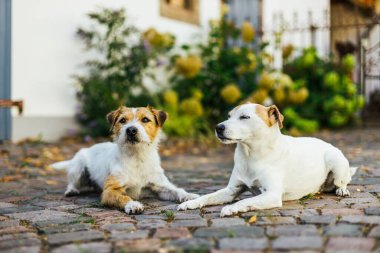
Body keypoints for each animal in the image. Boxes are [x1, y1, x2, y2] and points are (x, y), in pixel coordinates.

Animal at [52, 105, 199, 213]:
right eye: (122, 120)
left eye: (145, 119)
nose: (131, 130)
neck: (137, 157)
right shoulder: (110, 190)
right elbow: (123, 197)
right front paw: (133, 205)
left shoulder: (160, 186)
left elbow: (176, 190)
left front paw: (189, 197)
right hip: (78, 168)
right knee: (73, 181)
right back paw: (71, 190)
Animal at [178, 102, 356, 216]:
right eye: (228, 116)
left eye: (244, 117)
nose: (218, 127)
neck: (250, 155)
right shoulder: (231, 190)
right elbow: (208, 196)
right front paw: (190, 203)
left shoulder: (272, 194)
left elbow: (244, 201)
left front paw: (232, 208)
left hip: (335, 160)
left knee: (342, 182)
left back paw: (342, 190)